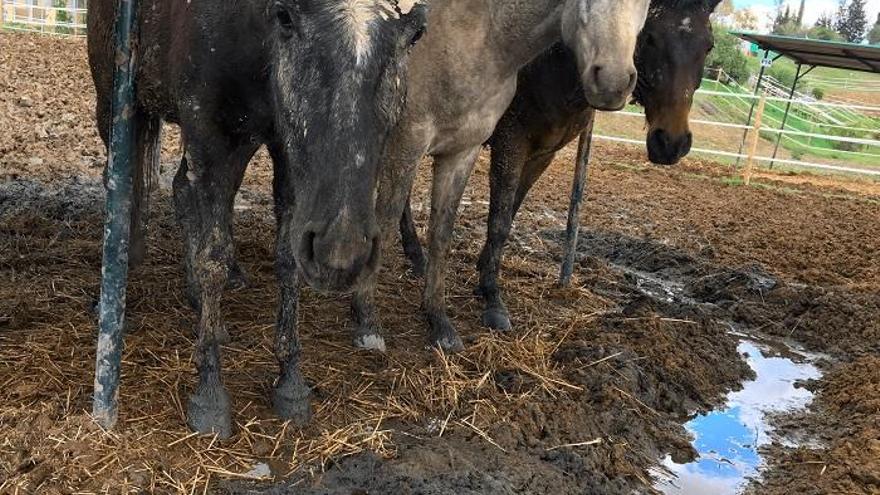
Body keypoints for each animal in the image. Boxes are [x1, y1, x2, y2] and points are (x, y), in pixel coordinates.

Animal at [90, 0, 430, 436]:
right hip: (115, 102)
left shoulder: (282, 150)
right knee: (123, 181)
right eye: (286, 18)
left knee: (182, 190)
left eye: (413, 36)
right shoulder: (209, 139)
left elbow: (286, 261)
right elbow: (214, 259)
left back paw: (200, 306)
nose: (341, 250)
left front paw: (290, 382)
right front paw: (210, 394)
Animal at [352, 0, 652, 352]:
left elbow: (442, 235)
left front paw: (439, 322)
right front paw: (366, 316)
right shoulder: (408, 142)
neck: (478, 41)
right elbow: (385, 224)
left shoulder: (461, 153)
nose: (613, 83)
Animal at [402, 0, 720, 334]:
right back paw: (416, 255)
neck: (550, 65)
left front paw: (483, 270)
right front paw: (492, 296)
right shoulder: (510, 143)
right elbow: (499, 223)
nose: (671, 143)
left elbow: (510, 213)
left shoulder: (543, 155)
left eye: (708, 46)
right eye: (650, 38)